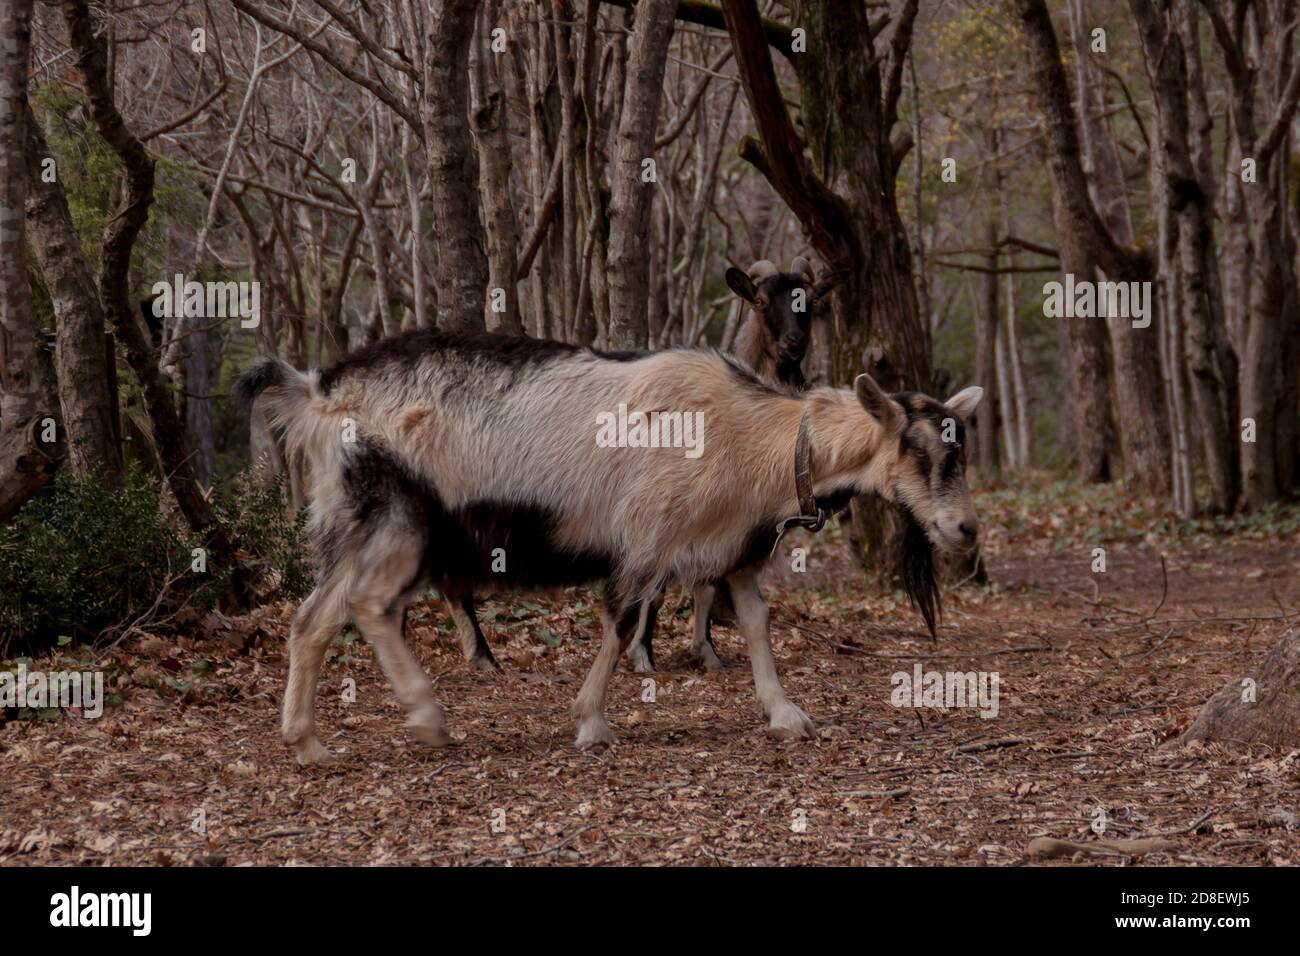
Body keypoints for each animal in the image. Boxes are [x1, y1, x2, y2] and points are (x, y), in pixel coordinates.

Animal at [239, 331, 982, 763]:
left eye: (959, 450)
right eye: (918, 452)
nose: (966, 530)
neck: (758, 435)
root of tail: (318, 392)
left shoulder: (733, 550)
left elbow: (756, 623)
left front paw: (785, 713)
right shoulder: (648, 537)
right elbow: (622, 622)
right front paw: (591, 720)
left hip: (353, 524)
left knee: (312, 619)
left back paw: (307, 741)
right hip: (396, 515)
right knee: (368, 604)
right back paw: (426, 717)